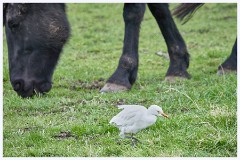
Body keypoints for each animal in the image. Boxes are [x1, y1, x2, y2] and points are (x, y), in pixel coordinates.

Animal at [3, 3, 236, 98]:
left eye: (12, 23)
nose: (18, 84)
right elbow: (159, 8)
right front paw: (177, 67)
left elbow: (132, 12)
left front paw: (120, 77)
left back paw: (230, 64)